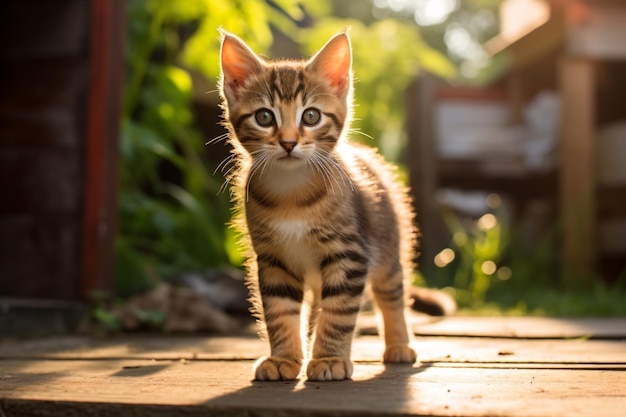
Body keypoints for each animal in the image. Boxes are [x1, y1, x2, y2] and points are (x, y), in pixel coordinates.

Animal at [221, 29, 434, 380]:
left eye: (311, 116)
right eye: (264, 117)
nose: (288, 142)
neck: (291, 195)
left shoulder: (350, 255)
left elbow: (339, 313)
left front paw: (329, 358)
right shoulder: (273, 259)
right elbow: (280, 311)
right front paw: (283, 359)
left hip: (388, 245)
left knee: (391, 294)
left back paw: (399, 345)